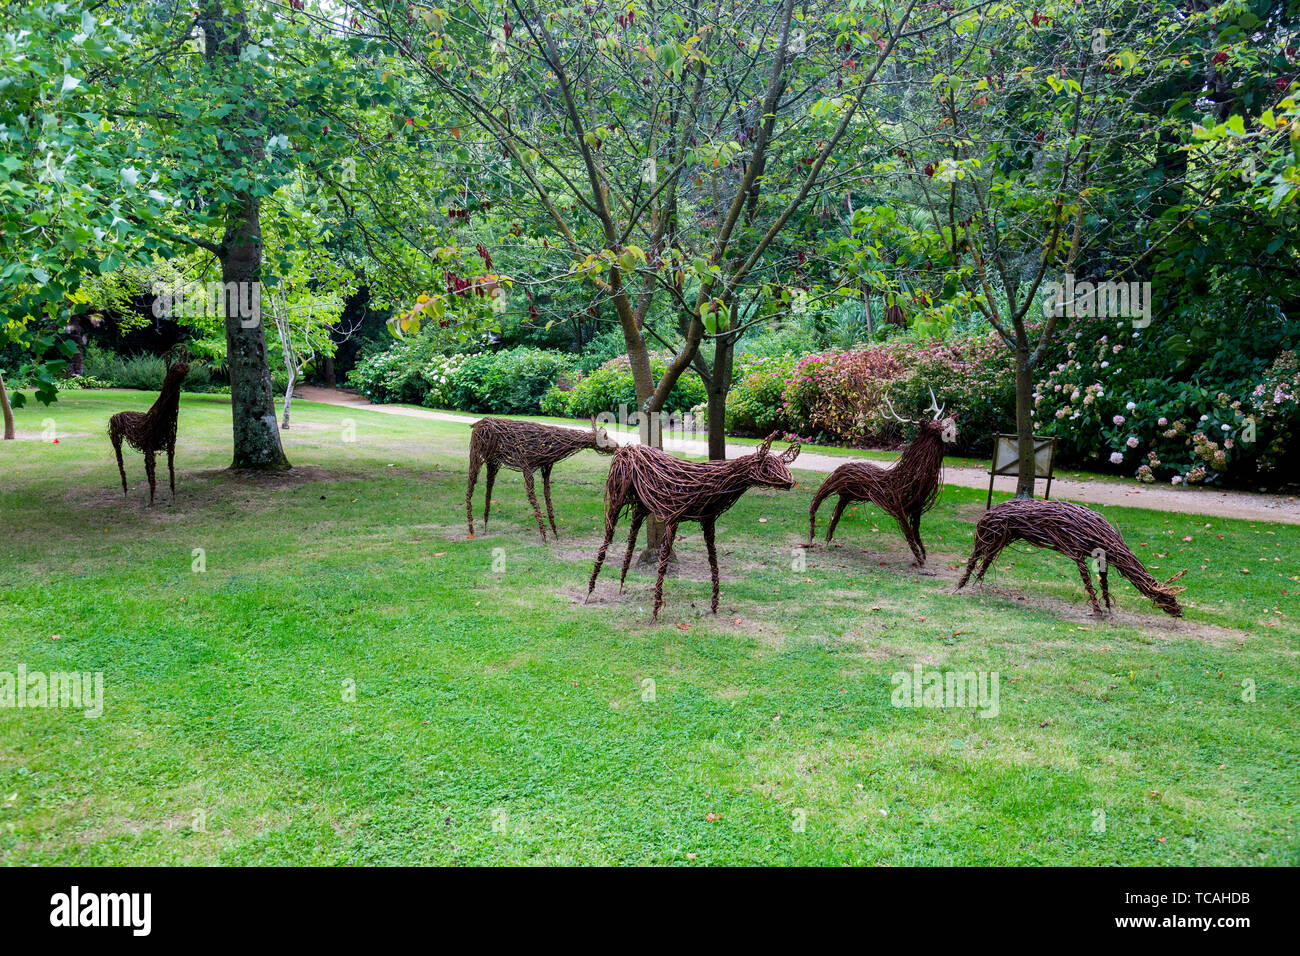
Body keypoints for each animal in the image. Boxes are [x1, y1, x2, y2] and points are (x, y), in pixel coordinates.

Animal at [108, 348, 189, 504]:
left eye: (185, 364)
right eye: (175, 368)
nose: (185, 370)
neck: (161, 418)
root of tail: (115, 415)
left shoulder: (169, 446)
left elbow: (171, 471)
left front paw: (173, 497)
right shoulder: (150, 446)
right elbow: (153, 476)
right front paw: (151, 503)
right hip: (116, 440)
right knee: (121, 465)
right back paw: (126, 493)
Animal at [465, 416, 616, 541]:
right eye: (605, 438)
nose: (617, 446)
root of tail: (476, 424)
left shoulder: (546, 467)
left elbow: (547, 494)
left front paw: (555, 533)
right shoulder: (526, 465)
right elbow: (532, 496)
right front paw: (544, 535)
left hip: (492, 462)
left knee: (488, 486)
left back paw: (485, 526)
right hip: (476, 456)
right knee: (470, 487)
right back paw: (471, 530)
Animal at [587, 431, 800, 621]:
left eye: (783, 464)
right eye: (768, 467)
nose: (791, 482)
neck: (714, 484)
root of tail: (626, 448)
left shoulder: (708, 522)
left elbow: (714, 563)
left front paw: (714, 607)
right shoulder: (672, 518)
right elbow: (663, 565)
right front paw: (655, 613)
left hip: (640, 505)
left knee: (631, 537)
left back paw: (621, 586)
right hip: (617, 496)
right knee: (608, 537)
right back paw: (589, 592)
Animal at [800, 390, 956, 567]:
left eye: (944, 422)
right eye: (936, 426)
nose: (952, 430)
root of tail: (843, 466)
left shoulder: (916, 510)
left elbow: (917, 535)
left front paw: (923, 556)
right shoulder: (897, 507)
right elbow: (909, 535)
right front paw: (920, 561)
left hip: (845, 495)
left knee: (835, 516)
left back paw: (828, 539)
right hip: (832, 484)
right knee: (816, 502)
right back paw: (810, 539)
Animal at [956, 496, 1190, 616]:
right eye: (1168, 598)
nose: (1179, 612)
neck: (1109, 541)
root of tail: (988, 513)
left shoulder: (1100, 558)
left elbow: (1104, 582)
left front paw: (1107, 607)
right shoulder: (1076, 551)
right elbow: (1088, 582)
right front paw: (1097, 611)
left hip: (1002, 538)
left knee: (987, 559)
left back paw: (976, 583)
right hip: (987, 537)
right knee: (974, 557)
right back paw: (960, 586)